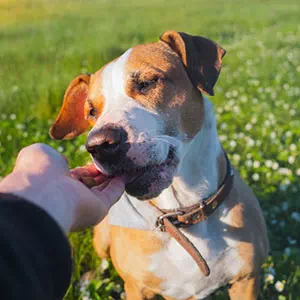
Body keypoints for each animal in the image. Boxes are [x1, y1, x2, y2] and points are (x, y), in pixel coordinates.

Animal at [49, 31, 270, 298]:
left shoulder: (246, 280)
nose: (99, 144)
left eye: (147, 83)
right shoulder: (137, 288)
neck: (181, 211)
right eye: (91, 111)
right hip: (101, 236)